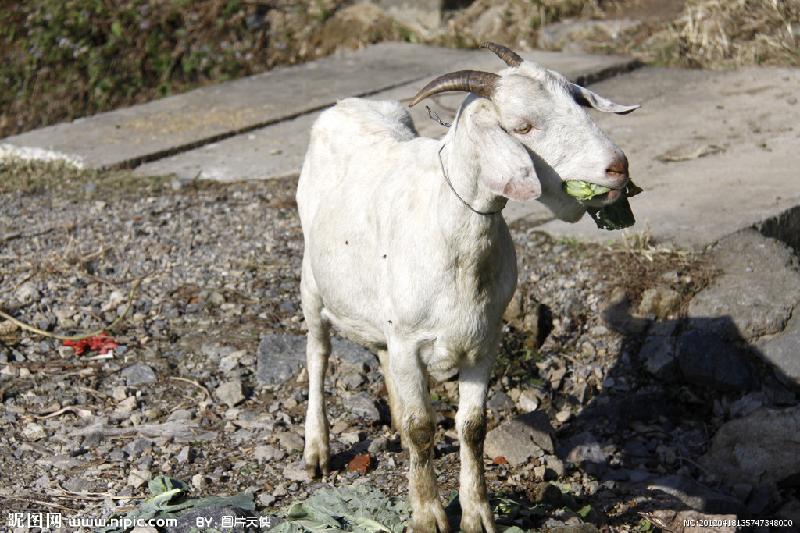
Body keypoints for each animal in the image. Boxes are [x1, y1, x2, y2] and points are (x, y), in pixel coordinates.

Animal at [294, 42, 636, 532]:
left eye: (578, 102)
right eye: (522, 127)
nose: (617, 167)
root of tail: (347, 104)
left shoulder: (484, 340)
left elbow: (473, 426)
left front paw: (478, 514)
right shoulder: (409, 340)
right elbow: (421, 426)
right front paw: (429, 514)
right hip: (311, 280)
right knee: (318, 353)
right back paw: (317, 449)